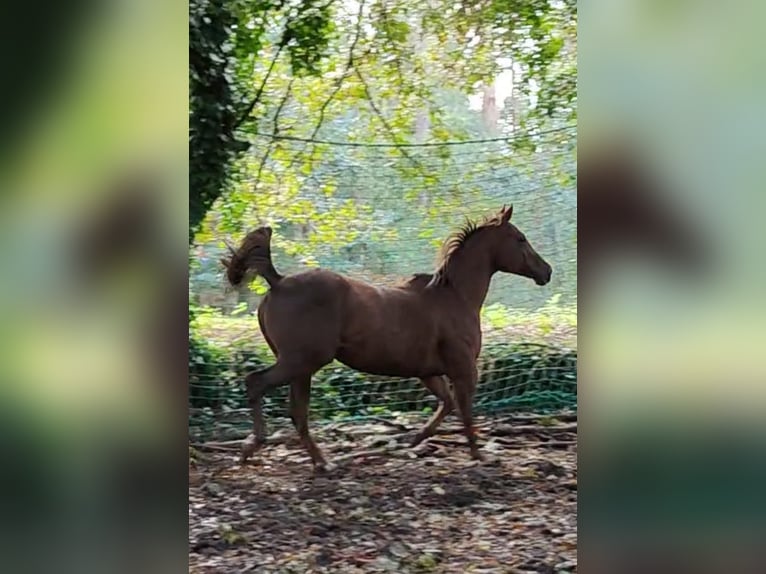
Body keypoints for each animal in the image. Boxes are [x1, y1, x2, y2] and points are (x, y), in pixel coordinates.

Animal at [222, 207, 552, 472]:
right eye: (520, 239)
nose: (546, 271)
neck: (455, 297)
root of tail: (277, 282)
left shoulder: (429, 373)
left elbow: (446, 405)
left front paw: (414, 439)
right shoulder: (463, 369)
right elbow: (466, 413)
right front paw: (478, 457)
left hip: (302, 368)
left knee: (297, 413)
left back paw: (320, 461)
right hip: (300, 361)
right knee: (257, 384)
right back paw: (254, 447)